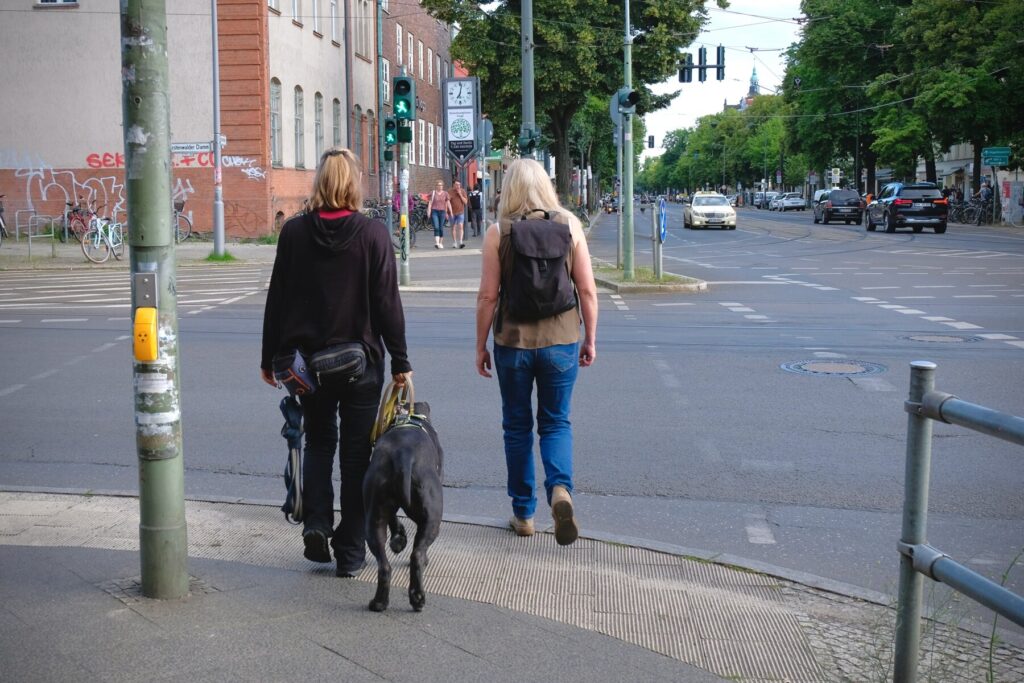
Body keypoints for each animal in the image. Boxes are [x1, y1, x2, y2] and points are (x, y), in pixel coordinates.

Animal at [362, 403, 442, 610]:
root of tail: (403, 454)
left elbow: (394, 519)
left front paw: (398, 540)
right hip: (432, 518)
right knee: (418, 555)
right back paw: (417, 597)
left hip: (374, 515)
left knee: (384, 566)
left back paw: (380, 602)